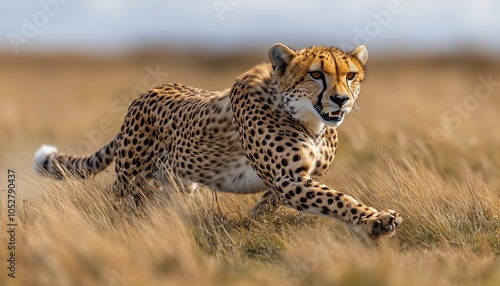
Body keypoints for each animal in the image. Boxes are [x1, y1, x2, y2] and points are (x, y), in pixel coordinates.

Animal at [34, 43, 402, 240]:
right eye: (316, 74)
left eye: (350, 75)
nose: (341, 100)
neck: (309, 121)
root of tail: (147, 92)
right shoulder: (289, 180)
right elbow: (338, 199)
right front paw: (375, 221)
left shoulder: (294, 180)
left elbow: (272, 203)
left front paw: (251, 221)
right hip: (131, 181)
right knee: (118, 206)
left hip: (175, 186)